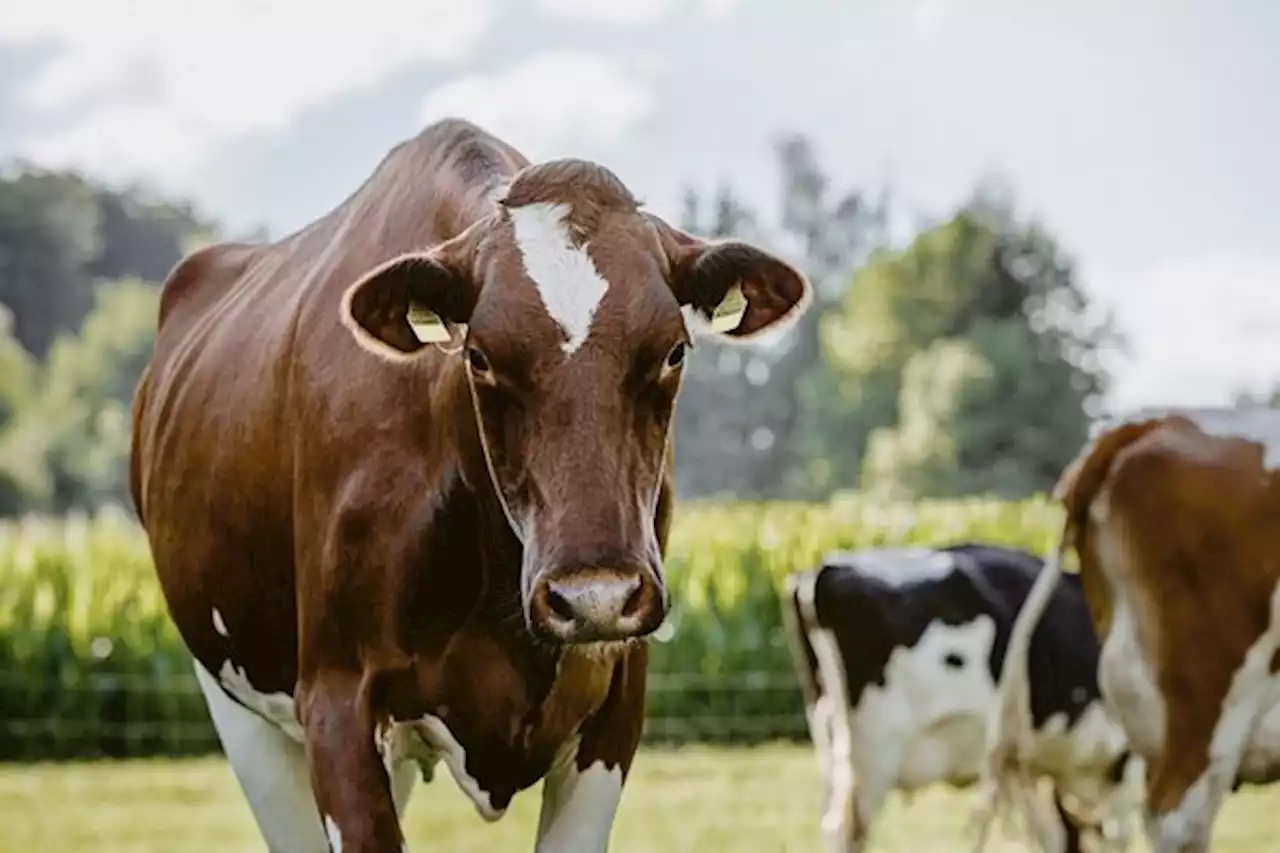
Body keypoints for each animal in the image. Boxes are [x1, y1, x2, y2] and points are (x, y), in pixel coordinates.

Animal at [129, 117, 808, 850]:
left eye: (674, 350)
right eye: (479, 356)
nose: (593, 596)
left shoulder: (616, 700)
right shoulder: (334, 701)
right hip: (239, 703)